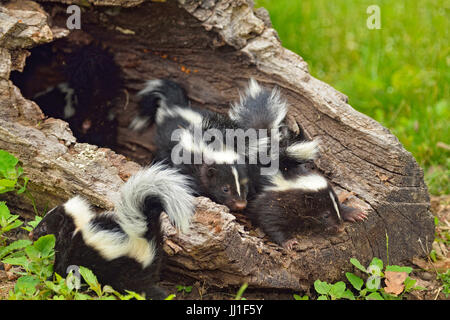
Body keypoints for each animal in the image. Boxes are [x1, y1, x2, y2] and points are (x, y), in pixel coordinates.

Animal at [29, 162, 195, 300]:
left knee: (140, 288)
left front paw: (50, 280)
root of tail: (145, 235)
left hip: (129, 271)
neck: (75, 230)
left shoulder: (71, 250)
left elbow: (64, 269)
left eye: (44, 227)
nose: (31, 234)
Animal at [129, 79, 250, 211]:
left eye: (244, 186)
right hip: (164, 143)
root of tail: (175, 108)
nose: (241, 204)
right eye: (225, 189)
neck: (219, 146)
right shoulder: (188, 160)